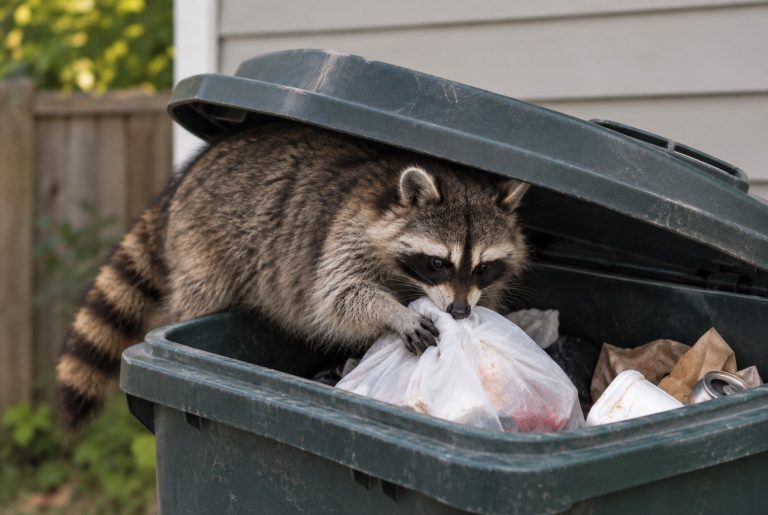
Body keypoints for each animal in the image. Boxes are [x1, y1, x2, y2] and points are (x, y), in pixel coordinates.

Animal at [56, 121, 530, 428]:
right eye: (437, 263)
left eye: (483, 267)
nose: (460, 312)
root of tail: (182, 182)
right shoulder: (349, 232)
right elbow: (339, 296)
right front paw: (392, 313)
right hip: (203, 235)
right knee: (202, 292)